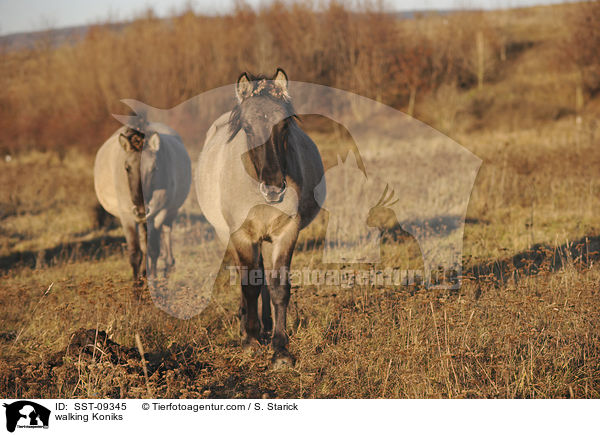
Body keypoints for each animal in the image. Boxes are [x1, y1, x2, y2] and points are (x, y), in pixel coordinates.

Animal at [95, 121, 191, 284]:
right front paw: (136, 282)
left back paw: (168, 265)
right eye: (127, 168)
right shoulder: (127, 217)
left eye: (154, 168)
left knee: (166, 232)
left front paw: (153, 279)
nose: (141, 210)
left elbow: (153, 250)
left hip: (169, 212)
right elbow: (135, 252)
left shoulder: (159, 214)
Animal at [196, 69, 326, 368]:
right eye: (247, 127)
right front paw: (250, 341)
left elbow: (278, 286)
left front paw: (280, 349)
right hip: (229, 236)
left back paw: (266, 325)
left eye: (286, 125)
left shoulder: (286, 232)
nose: (274, 188)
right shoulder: (242, 236)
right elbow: (250, 284)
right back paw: (247, 324)